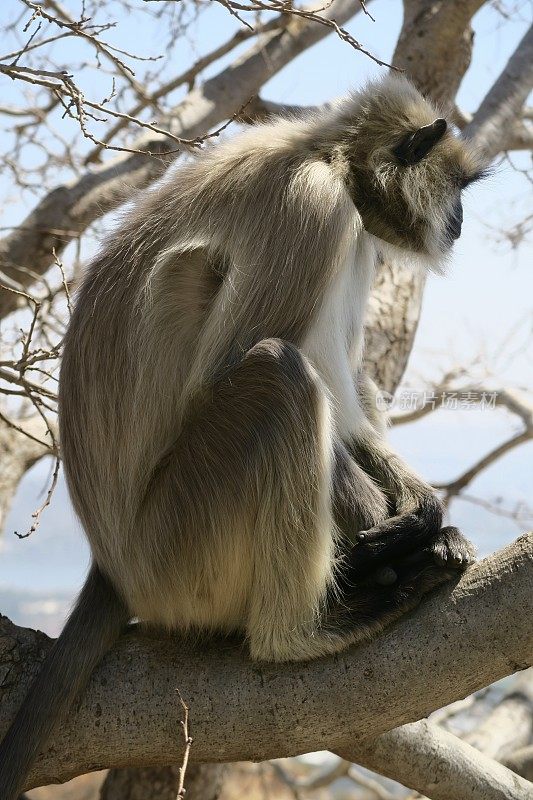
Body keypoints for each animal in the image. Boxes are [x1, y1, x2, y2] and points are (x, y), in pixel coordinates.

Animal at [0, 72, 482, 796]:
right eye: (457, 190)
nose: (458, 223)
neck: (327, 155)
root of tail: (113, 566)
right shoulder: (313, 209)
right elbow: (229, 373)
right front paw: (402, 539)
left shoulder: (354, 237)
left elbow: (347, 398)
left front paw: (424, 514)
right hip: (180, 549)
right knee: (277, 376)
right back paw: (305, 630)